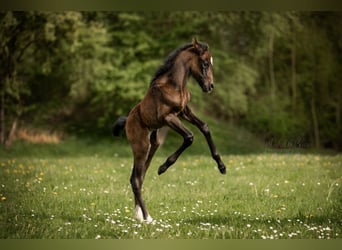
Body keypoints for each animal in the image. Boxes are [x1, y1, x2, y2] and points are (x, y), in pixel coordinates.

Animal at [113, 38, 227, 223]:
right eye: (205, 63)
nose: (210, 86)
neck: (174, 85)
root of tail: (128, 120)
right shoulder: (169, 117)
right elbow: (189, 137)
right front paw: (163, 167)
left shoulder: (184, 111)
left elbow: (204, 127)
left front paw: (222, 166)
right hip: (140, 146)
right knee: (136, 180)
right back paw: (148, 218)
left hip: (153, 145)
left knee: (138, 177)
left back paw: (138, 215)